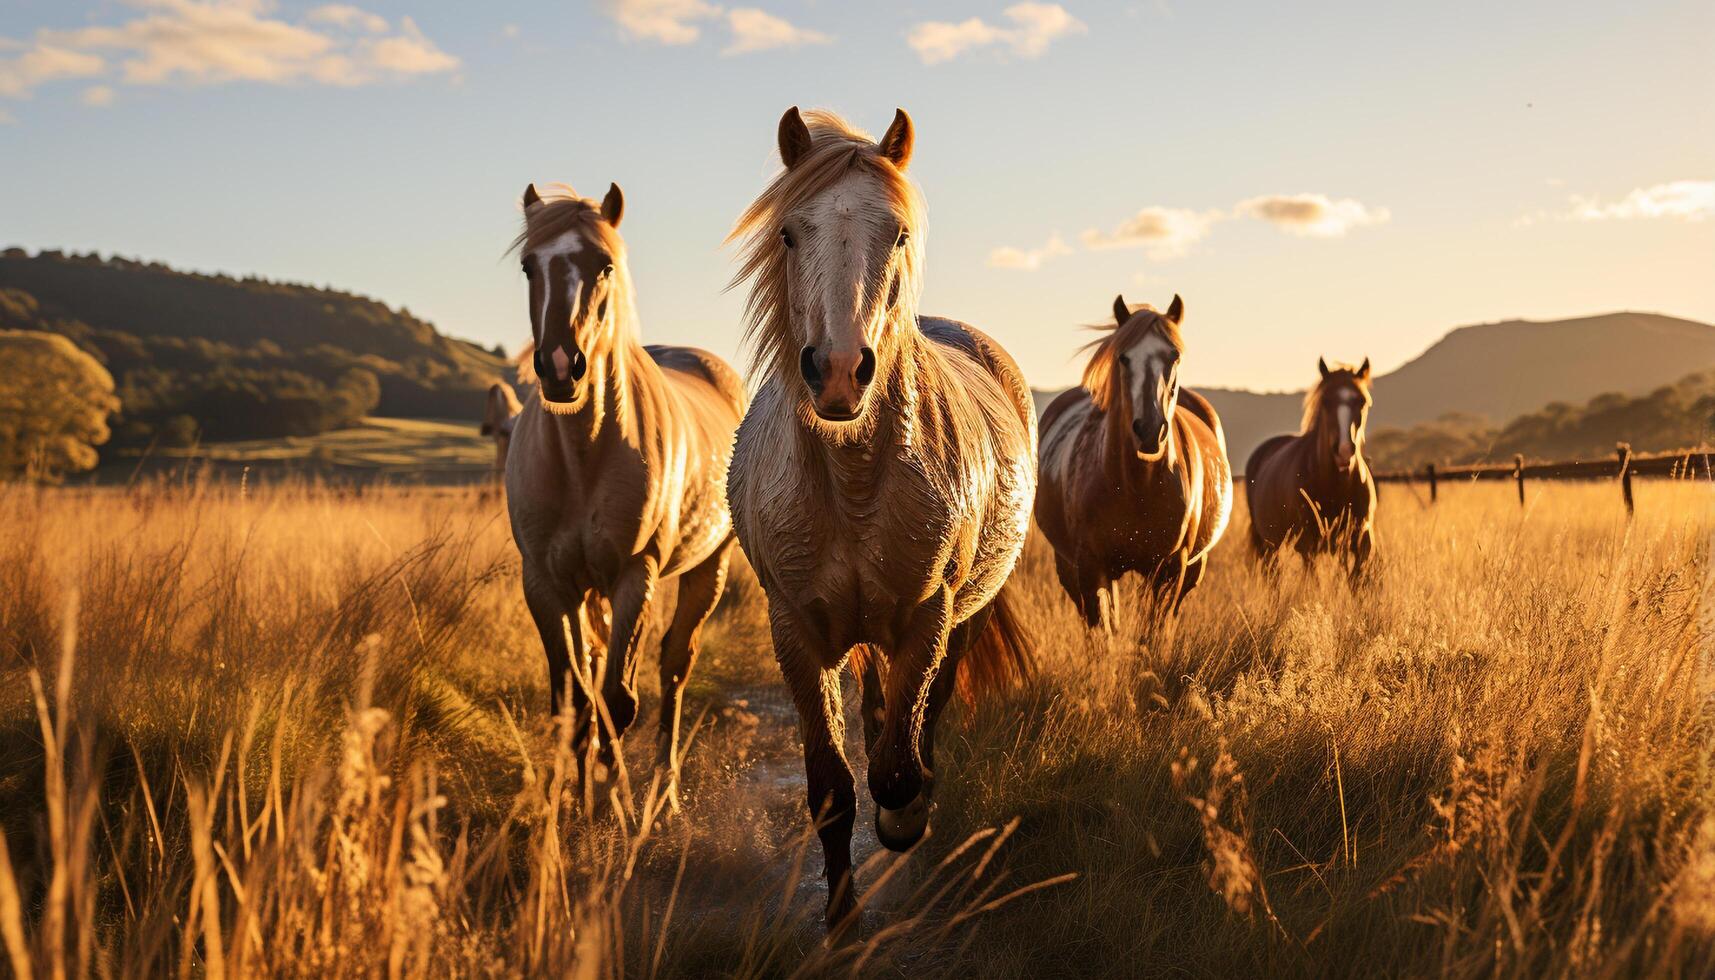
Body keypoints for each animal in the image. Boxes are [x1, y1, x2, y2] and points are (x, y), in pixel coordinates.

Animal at [500, 181, 744, 782]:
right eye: (528, 266)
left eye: (604, 264)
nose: (560, 367)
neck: (581, 457)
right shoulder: (544, 582)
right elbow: (573, 699)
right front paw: (571, 798)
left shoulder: (637, 576)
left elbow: (618, 701)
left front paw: (614, 800)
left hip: (710, 565)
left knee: (675, 666)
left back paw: (664, 787)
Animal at [723, 109, 1029, 933]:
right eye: (789, 233)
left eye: (897, 233)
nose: (836, 372)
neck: (854, 485)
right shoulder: (795, 631)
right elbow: (831, 787)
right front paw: (840, 920)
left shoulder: (928, 616)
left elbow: (895, 765)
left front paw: (905, 817)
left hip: (961, 615)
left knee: (925, 709)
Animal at [1029, 293, 1234, 628]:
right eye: (1123, 358)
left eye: (1175, 356)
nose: (1150, 430)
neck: (1136, 486)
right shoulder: (1091, 567)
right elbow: (1103, 629)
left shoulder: (1169, 569)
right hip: (1069, 567)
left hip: (1191, 569)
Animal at [1241, 356, 1372, 580]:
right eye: (1325, 401)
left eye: (1361, 401)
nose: (1344, 450)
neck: (1335, 486)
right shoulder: (1307, 545)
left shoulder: (1361, 541)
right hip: (1271, 546)